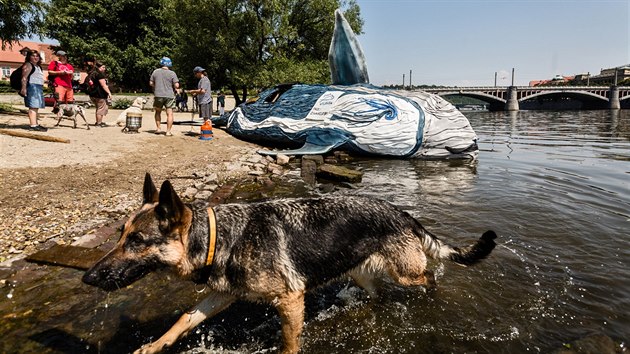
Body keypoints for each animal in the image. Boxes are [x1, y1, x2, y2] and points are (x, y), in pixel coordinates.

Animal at [82, 174, 498, 354]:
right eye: (120, 234)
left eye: (136, 241)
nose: (87, 277)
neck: (221, 237)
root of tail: (401, 212)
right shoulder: (222, 296)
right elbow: (184, 319)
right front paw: (156, 345)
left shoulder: (290, 300)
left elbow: (288, 343)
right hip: (362, 274)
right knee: (377, 292)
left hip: (405, 272)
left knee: (427, 275)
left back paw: (435, 292)